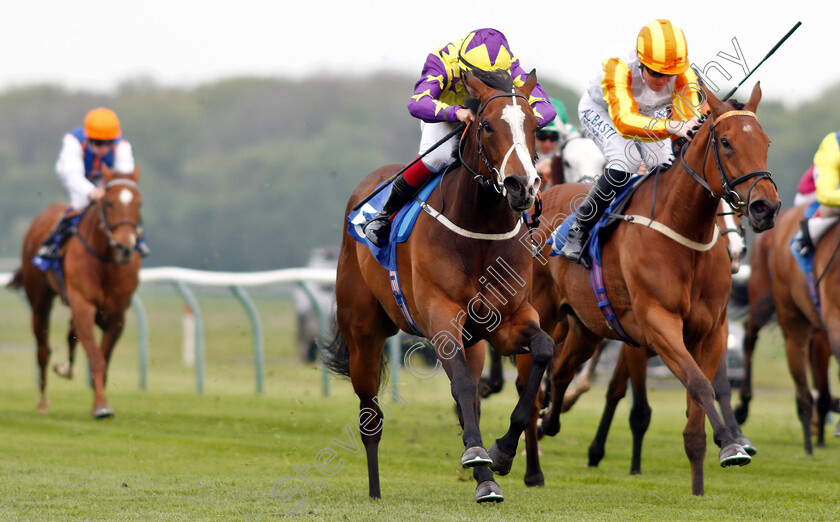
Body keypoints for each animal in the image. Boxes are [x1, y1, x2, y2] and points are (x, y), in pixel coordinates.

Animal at [8, 165, 143, 416]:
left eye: (139, 204)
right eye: (109, 203)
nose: (125, 248)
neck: (105, 261)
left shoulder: (116, 315)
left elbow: (102, 357)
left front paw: (98, 401)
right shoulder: (84, 304)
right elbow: (96, 358)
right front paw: (101, 407)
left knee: (71, 333)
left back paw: (65, 369)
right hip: (39, 301)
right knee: (43, 350)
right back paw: (43, 401)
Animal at [324, 67, 556, 502]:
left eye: (535, 125)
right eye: (485, 125)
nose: (522, 185)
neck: (479, 231)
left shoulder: (508, 321)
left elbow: (543, 351)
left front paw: (500, 454)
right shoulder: (442, 318)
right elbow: (462, 386)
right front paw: (482, 455)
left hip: (474, 342)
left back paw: (486, 477)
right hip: (363, 337)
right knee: (370, 416)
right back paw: (376, 490)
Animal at [520, 83, 780, 494]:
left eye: (765, 141)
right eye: (725, 142)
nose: (765, 207)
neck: (684, 233)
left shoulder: (712, 330)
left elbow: (701, 400)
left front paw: (713, 467)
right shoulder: (657, 324)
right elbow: (697, 385)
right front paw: (729, 441)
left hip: (586, 326)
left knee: (560, 371)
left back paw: (551, 419)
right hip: (542, 316)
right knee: (528, 386)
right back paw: (526, 466)